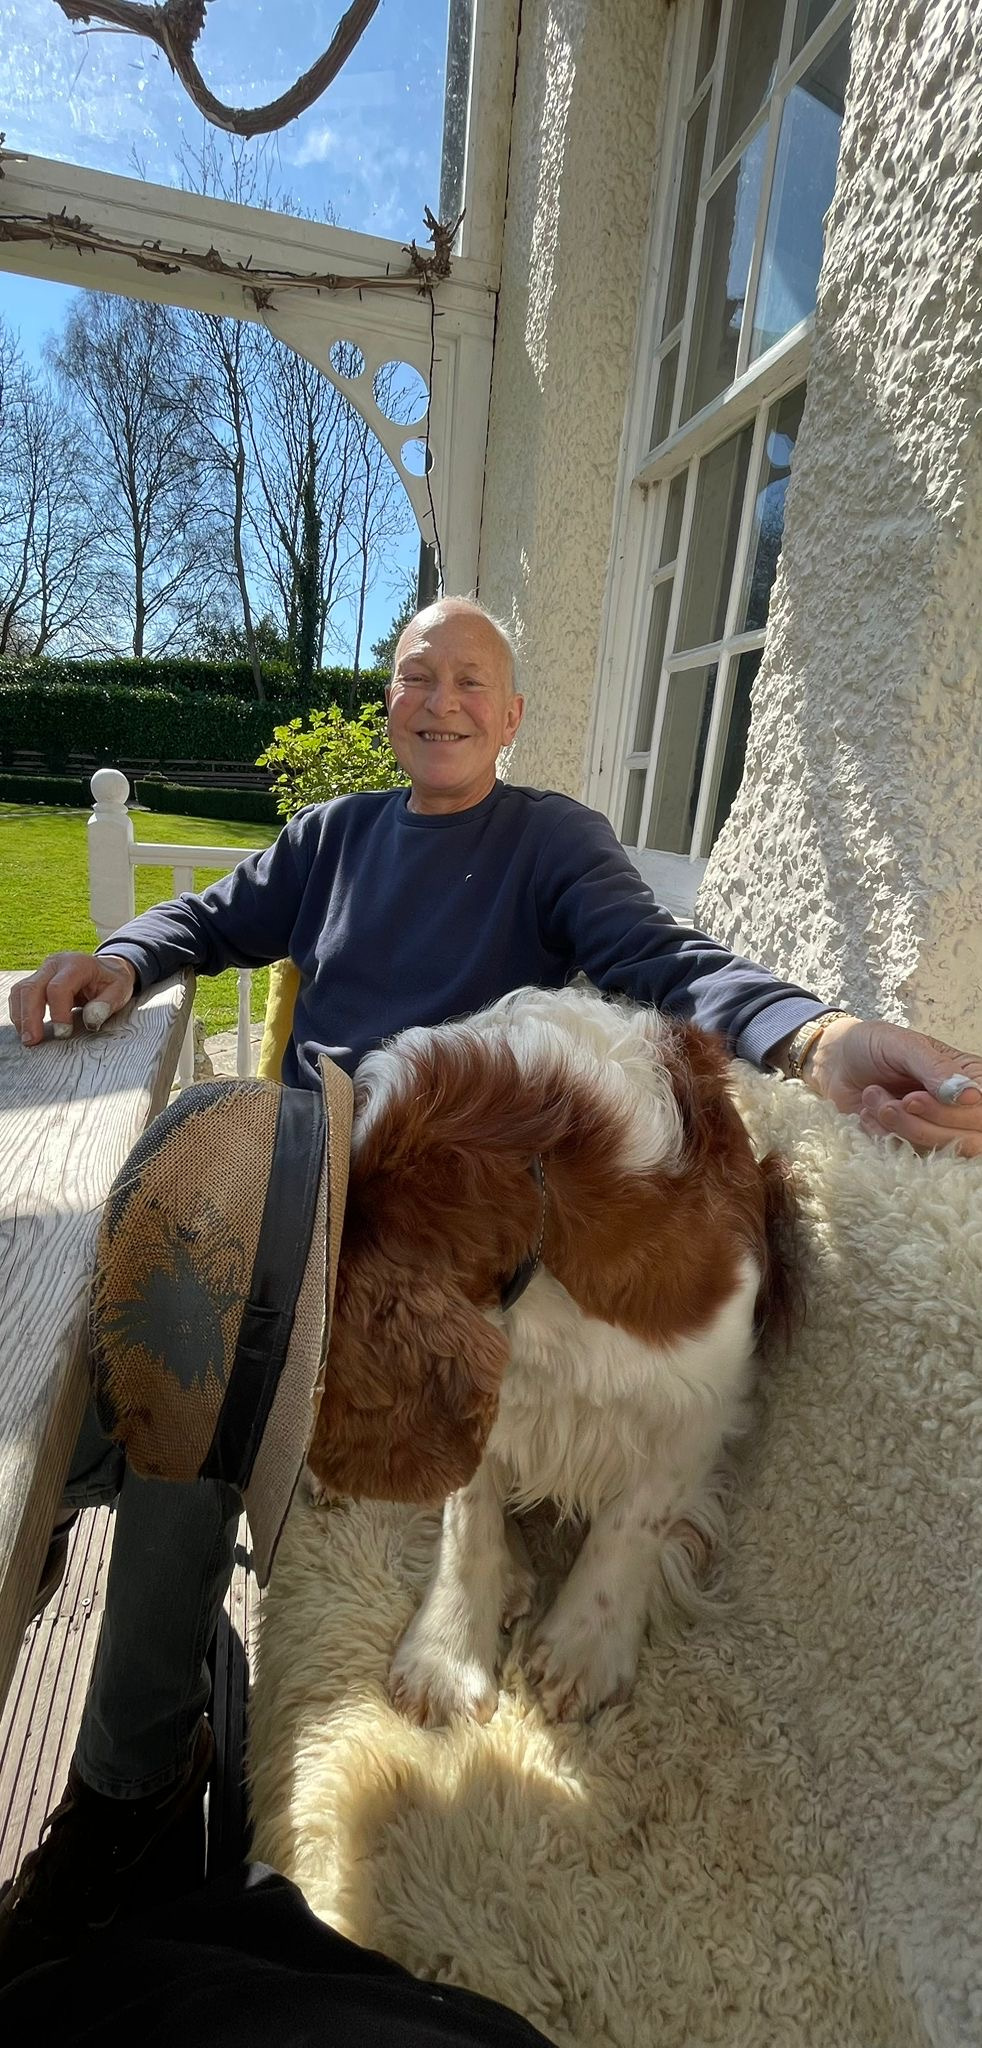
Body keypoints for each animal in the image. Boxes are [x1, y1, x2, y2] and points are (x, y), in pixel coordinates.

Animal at [306, 985, 798, 1724]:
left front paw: (583, 1651)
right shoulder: (494, 1390)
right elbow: (468, 1521)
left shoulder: (702, 1395)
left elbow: (635, 1521)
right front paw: (446, 1655)